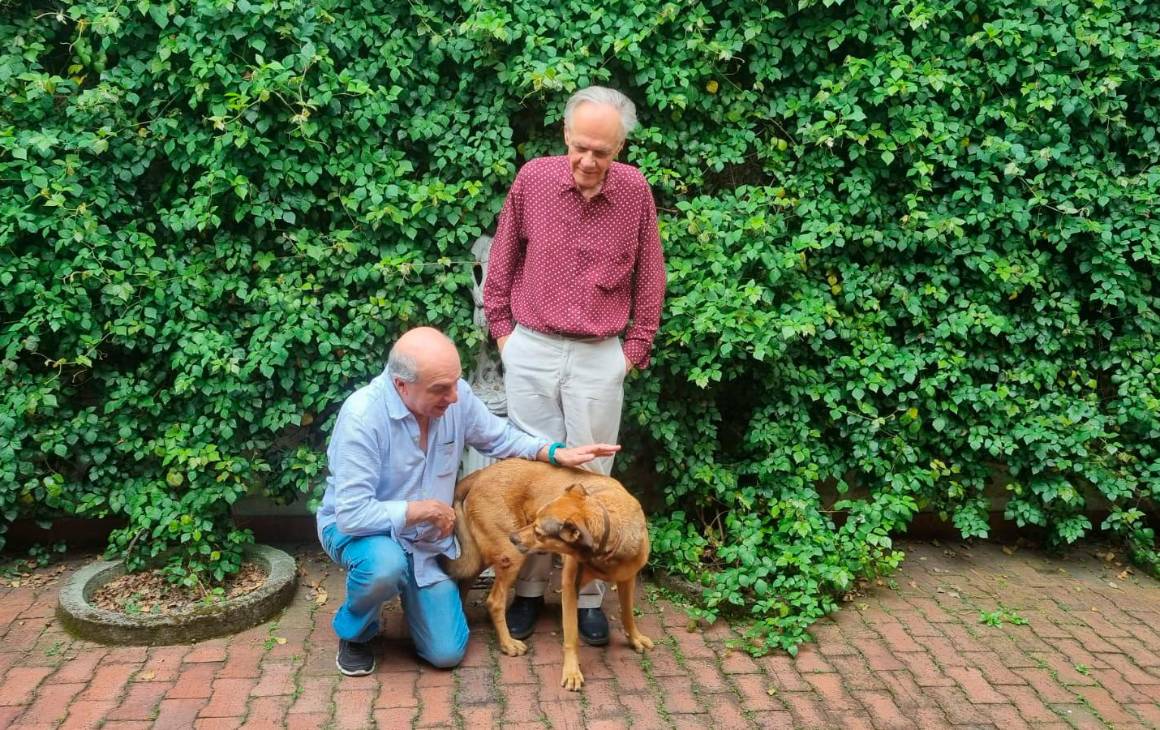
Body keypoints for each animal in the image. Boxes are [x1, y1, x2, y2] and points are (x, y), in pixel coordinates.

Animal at [438, 461, 654, 687]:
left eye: (539, 532)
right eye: (535, 522)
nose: (513, 538)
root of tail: (480, 473)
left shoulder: (627, 580)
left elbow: (628, 614)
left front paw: (635, 639)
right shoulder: (570, 586)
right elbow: (571, 636)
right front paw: (572, 673)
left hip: (483, 555)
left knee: (464, 579)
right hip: (510, 557)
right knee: (494, 601)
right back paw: (507, 643)